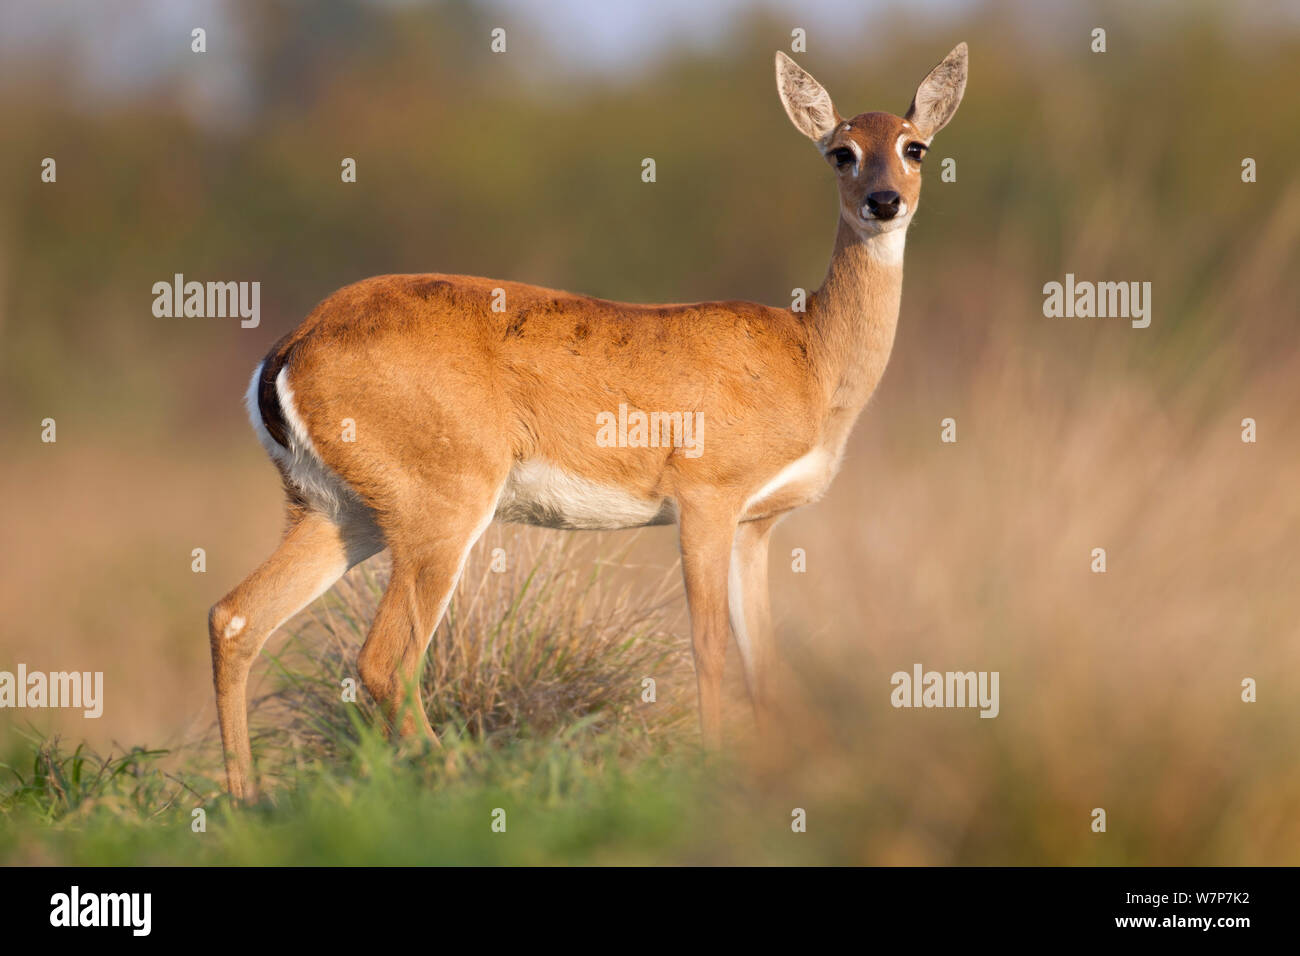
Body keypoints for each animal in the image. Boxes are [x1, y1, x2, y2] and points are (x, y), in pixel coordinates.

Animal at [210, 42, 967, 801]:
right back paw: (464, 776)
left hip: (338, 513)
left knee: (237, 617)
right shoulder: (707, 501)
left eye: (915, 147)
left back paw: (247, 800)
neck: (810, 355)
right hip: (443, 507)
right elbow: (709, 645)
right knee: (383, 659)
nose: (884, 202)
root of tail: (292, 346)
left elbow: (764, 661)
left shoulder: (758, 526)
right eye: (842, 151)